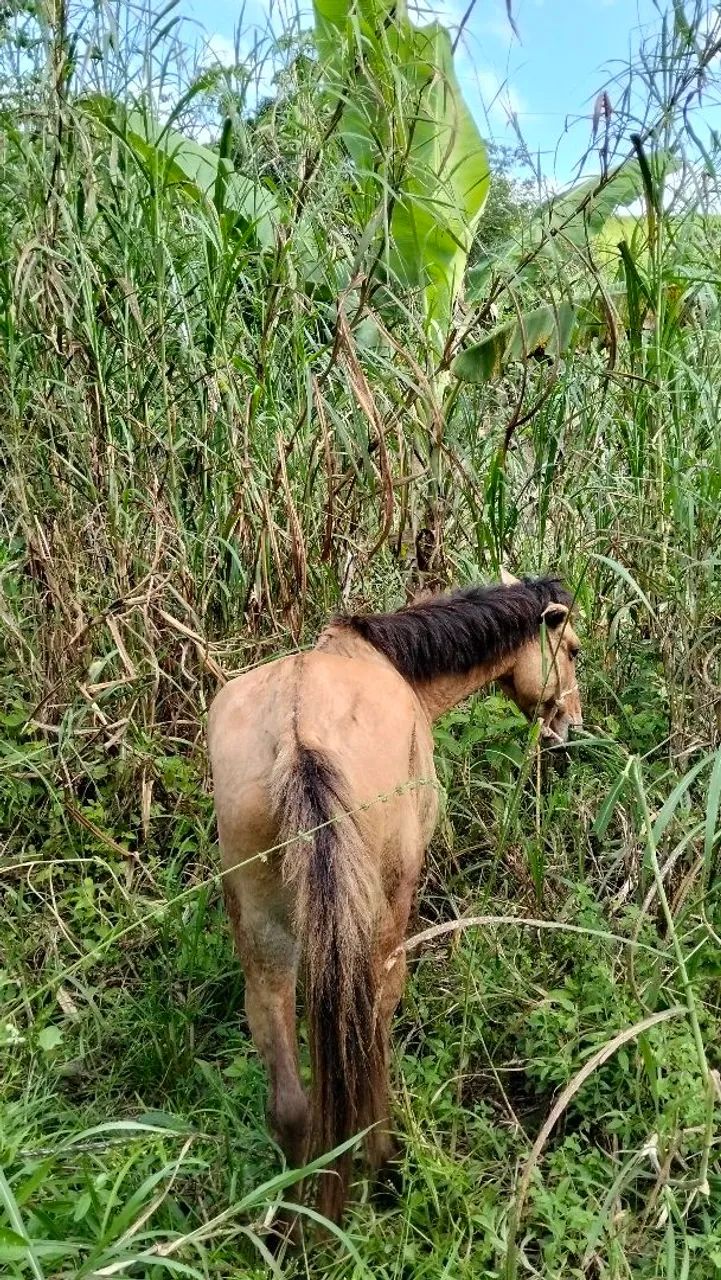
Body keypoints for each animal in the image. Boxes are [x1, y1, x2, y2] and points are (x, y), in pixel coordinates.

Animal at [208, 572, 582, 1227]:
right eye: (574, 651)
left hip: (263, 933)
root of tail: (299, 739)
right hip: (382, 913)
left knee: (288, 1096)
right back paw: (378, 1159)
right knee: (372, 1026)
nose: (573, 726)